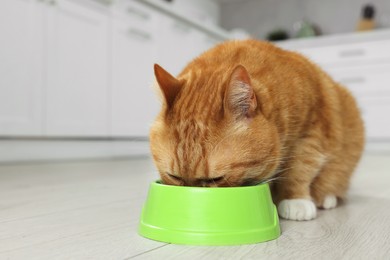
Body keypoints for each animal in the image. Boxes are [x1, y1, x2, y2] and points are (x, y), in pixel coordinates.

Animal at [148, 39, 364, 220]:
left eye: (216, 179)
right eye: (174, 177)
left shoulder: (311, 131)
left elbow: (299, 168)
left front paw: (295, 200)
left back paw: (327, 197)